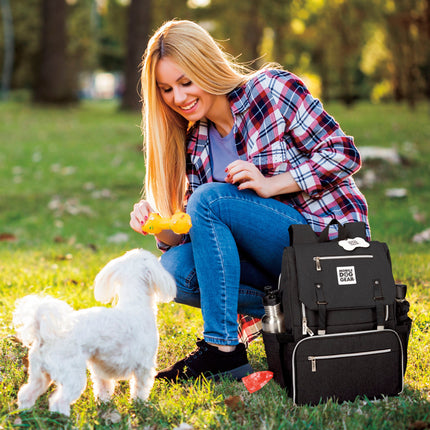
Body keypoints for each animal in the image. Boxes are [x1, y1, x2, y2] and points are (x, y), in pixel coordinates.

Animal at [12, 249, 176, 416]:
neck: (135, 304)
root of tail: (43, 335)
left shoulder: (101, 369)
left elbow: (103, 388)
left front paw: (103, 403)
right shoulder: (144, 365)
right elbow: (140, 388)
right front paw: (140, 404)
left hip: (39, 374)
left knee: (27, 392)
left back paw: (25, 412)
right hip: (71, 374)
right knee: (59, 401)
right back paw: (63, 417)